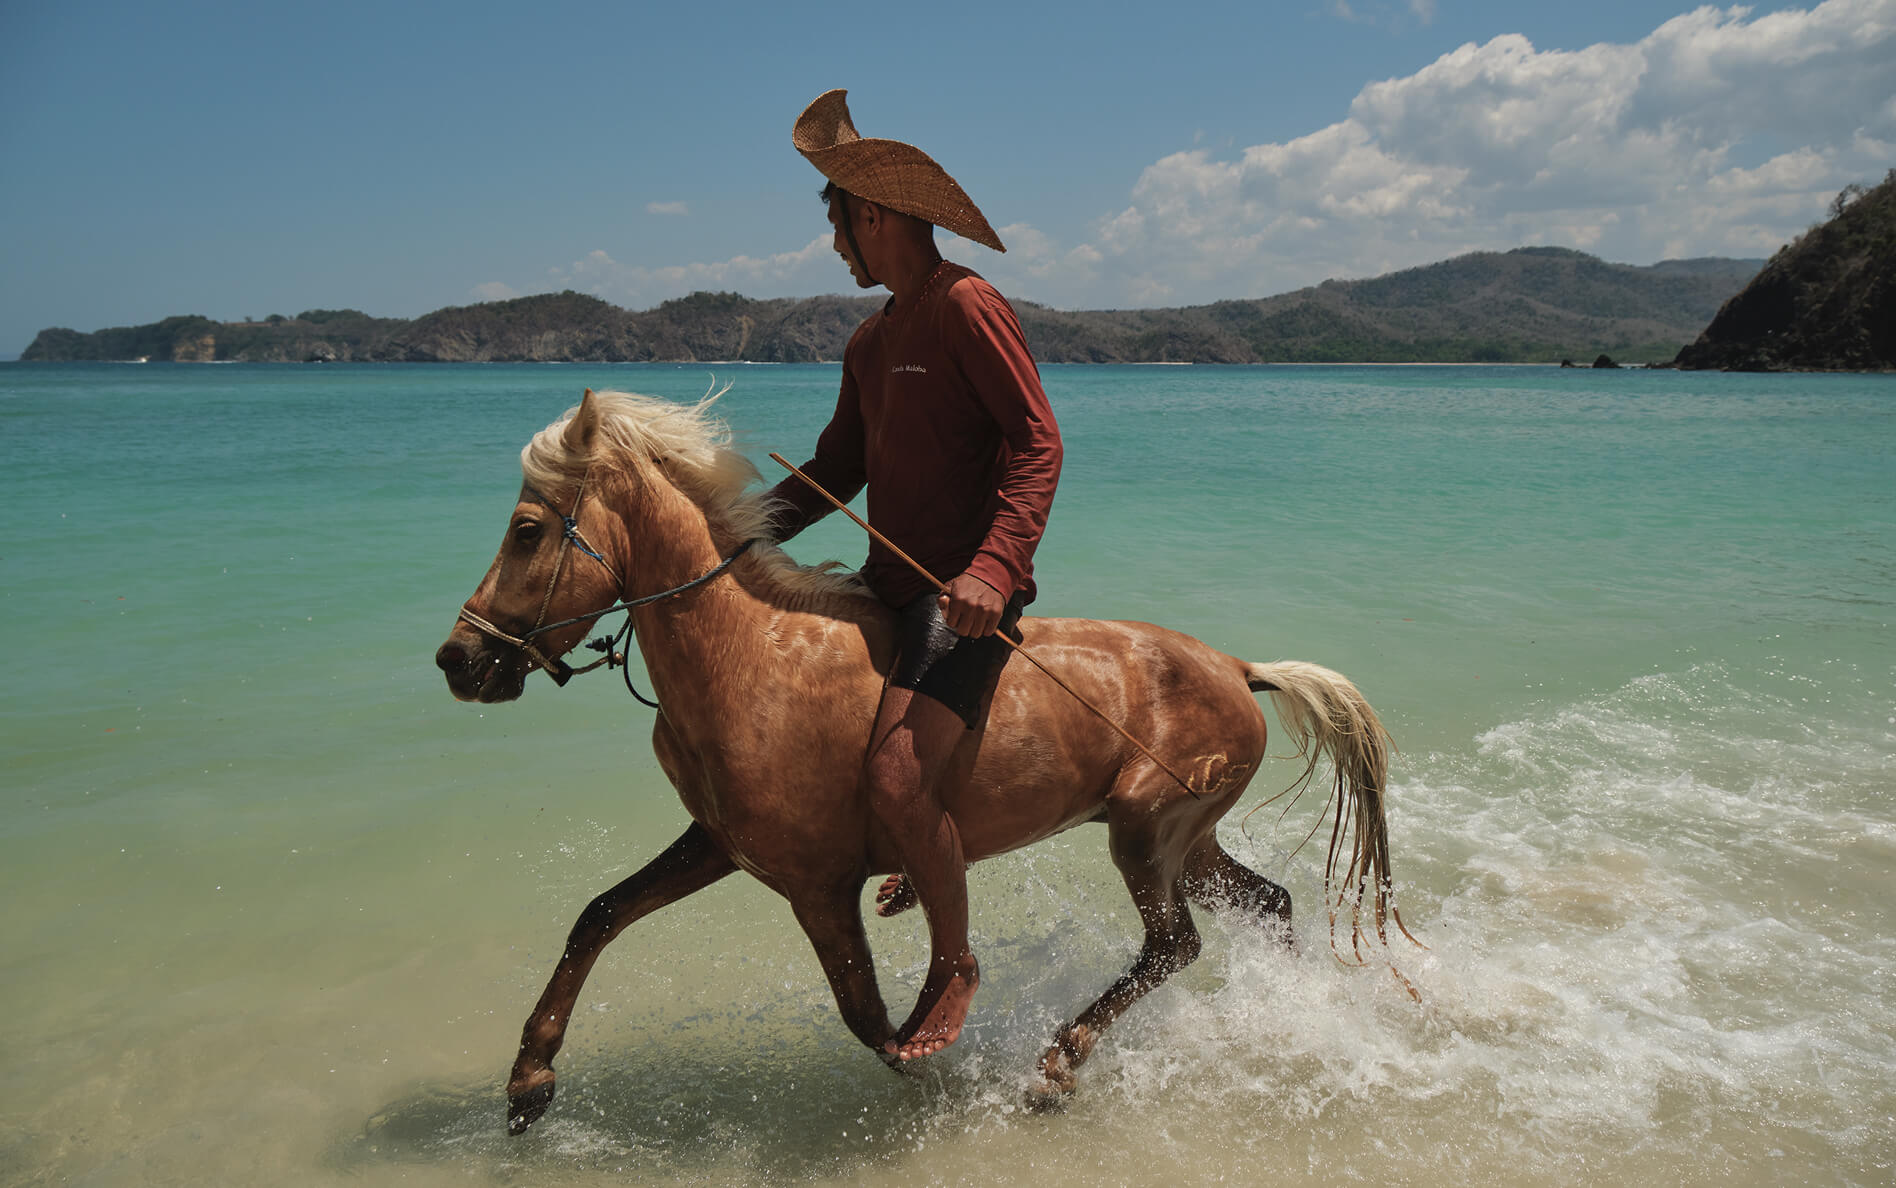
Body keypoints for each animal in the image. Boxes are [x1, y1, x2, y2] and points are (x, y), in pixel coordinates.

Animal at [434, 388, 1412, 1136]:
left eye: (527, 530)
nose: (459, 660)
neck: (752, 654)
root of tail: (1241, 668)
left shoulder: (817, 886)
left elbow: (871, 1021)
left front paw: (945, 1065)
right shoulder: (721, 845)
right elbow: (598, 916)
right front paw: (528, 1081)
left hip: (1146, 835)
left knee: (1174, 942)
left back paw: (1059, 1062)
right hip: (1188, 842)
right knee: (1266, 906)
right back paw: (1286, 1015)